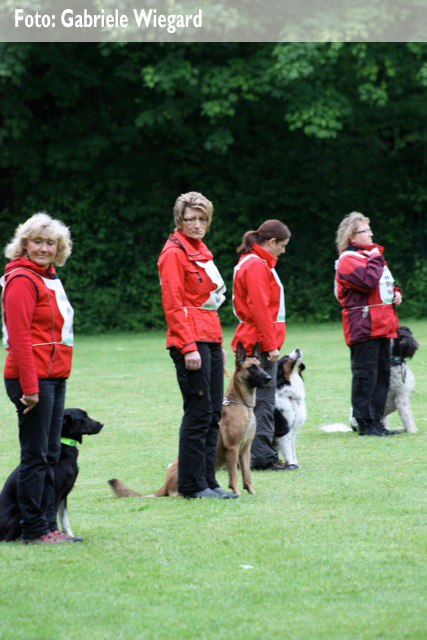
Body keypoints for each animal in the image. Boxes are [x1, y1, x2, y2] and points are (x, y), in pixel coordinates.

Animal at [0, 410, 103, 540]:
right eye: (83, 417)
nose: (102, 424)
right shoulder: (54, 492)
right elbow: (52, 515)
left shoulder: (64, 493)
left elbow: (64, 518)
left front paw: (69, 536)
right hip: (21, 512)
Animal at [109, 342, 270, 498]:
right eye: (251, 368)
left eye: (260, 366)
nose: (268, 378)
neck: (242, 404)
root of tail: (165, 484)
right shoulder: (233, 448)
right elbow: (234, 476)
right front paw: (237, 493)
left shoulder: (245, 449)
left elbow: (247, 474)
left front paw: (252, 491)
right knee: (176, 493)